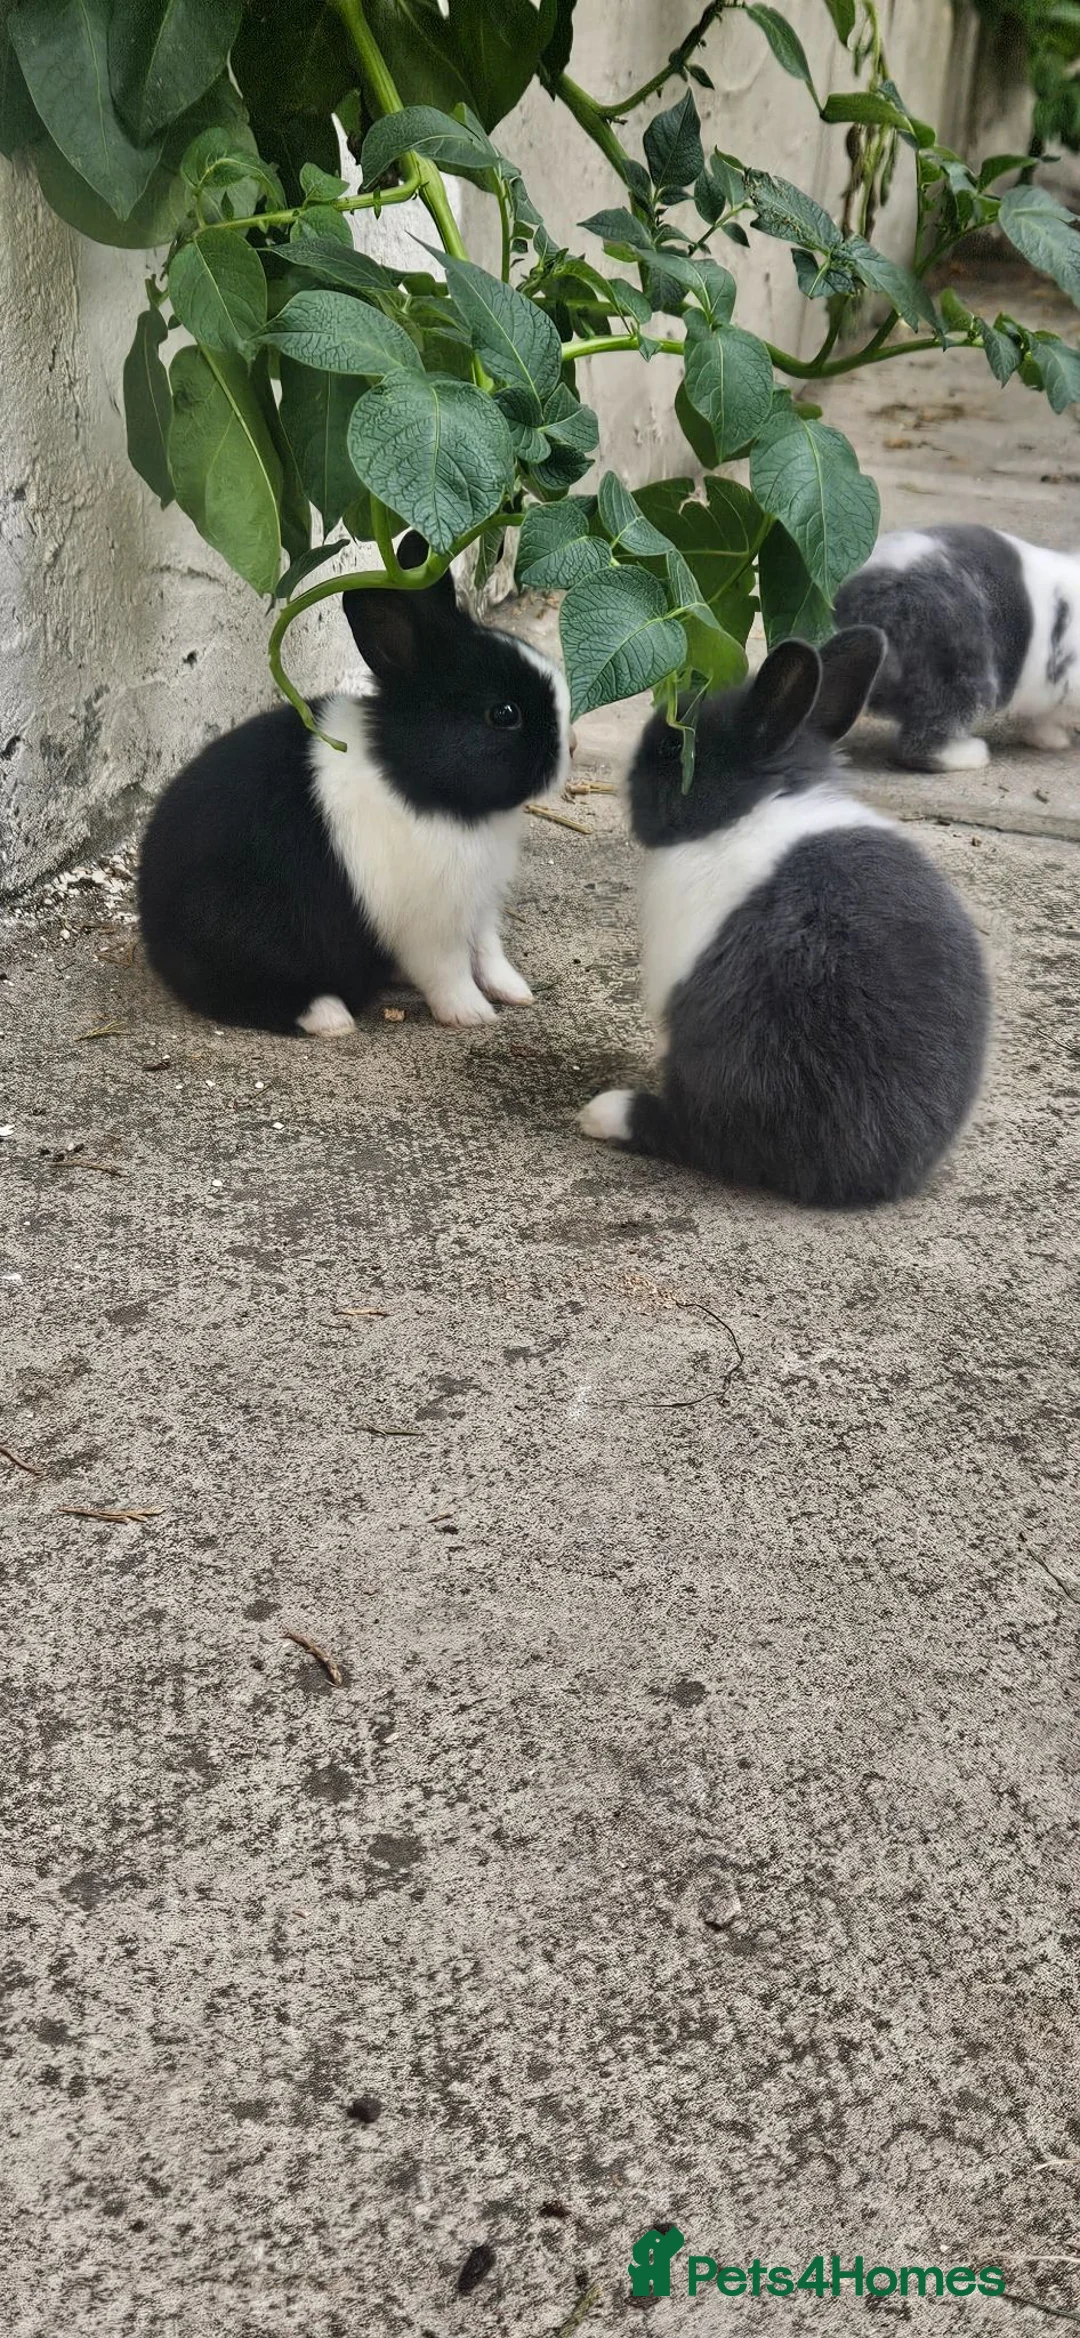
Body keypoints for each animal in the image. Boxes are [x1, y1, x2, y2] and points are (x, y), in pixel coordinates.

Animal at [138, 532, 572, 1035]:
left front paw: (515, 993)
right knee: (243, 994)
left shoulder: (478, 907)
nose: (572, 747)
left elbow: (488, 952)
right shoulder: (429, 926)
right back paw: (331, 1017)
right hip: (244, 939)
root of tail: (152, 926)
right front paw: (472, 1015)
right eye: (504, 714)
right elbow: (449, 972)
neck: (412, 774)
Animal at [579, 627, 991, 1208]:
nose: (625, 771)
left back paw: (603, 1113)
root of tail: (871, 1174)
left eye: (672, 749)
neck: (753, 807)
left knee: (699, 1136)